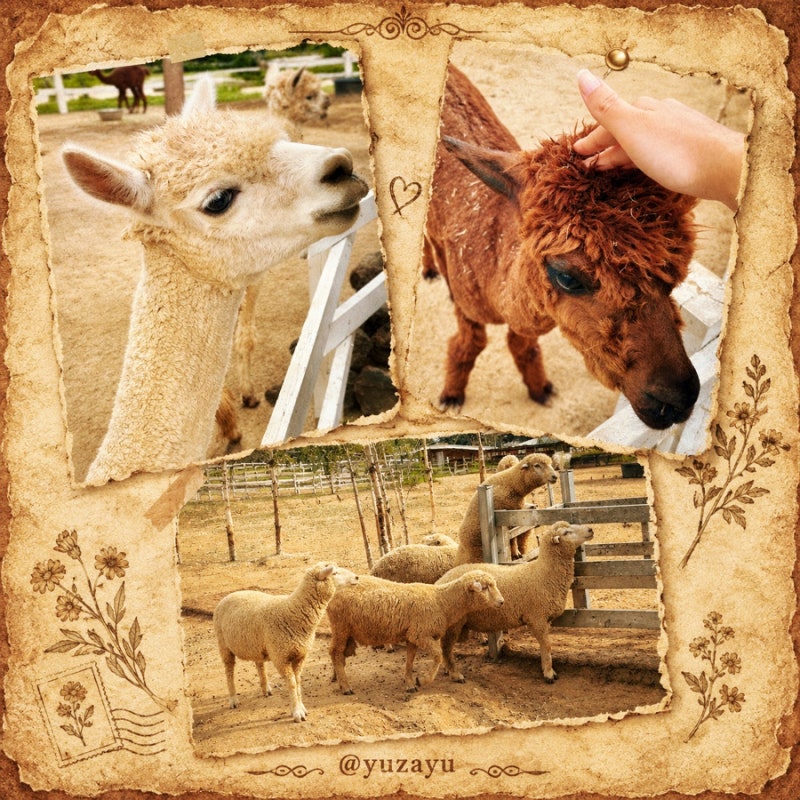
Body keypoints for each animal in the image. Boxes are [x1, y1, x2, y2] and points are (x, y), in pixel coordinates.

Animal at [213, 562, 358, 722]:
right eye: (335, 573)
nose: (357, 577)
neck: (291, 612)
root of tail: (228, 595)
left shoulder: (300, 656)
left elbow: (298, 681)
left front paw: (301, 707)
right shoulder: (281, 658)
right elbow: (292, 684)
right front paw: (297, 712)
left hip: (256, 644)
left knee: (259, 664)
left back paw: (265, 689)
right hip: (224, 645)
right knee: (229, 671)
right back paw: (233, 699)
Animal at [326, 571, 504, 694]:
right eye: (485, 587)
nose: (502, 602)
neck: (441, 601)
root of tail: (334, 595)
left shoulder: (412, 635)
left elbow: (410, 660)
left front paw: (410, 683)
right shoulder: (421, 634)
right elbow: (438, 655)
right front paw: (422, 680)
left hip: (347, 632)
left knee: (339, 654)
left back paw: (338, 679)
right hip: (340, 627)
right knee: (335, 652)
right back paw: (346, 686)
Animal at [424, 64, 699, 429]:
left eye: (676, 273)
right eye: (567, 276)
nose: (677, 399)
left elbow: (521, 344)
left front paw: (540, 389)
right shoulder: (467, 301)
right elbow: (468, 344)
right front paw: (451, 395)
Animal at [437, 521, 594, 683]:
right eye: (565, 533)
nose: (590, 529)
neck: (543, 573)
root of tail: (441, 581)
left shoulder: (545, 619)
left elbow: (546, 645)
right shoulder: (537, 618)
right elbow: (547, 645)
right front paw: (549, 673)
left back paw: (448, 669)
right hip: (454, 624)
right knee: (446, 647)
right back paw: (455, 674)